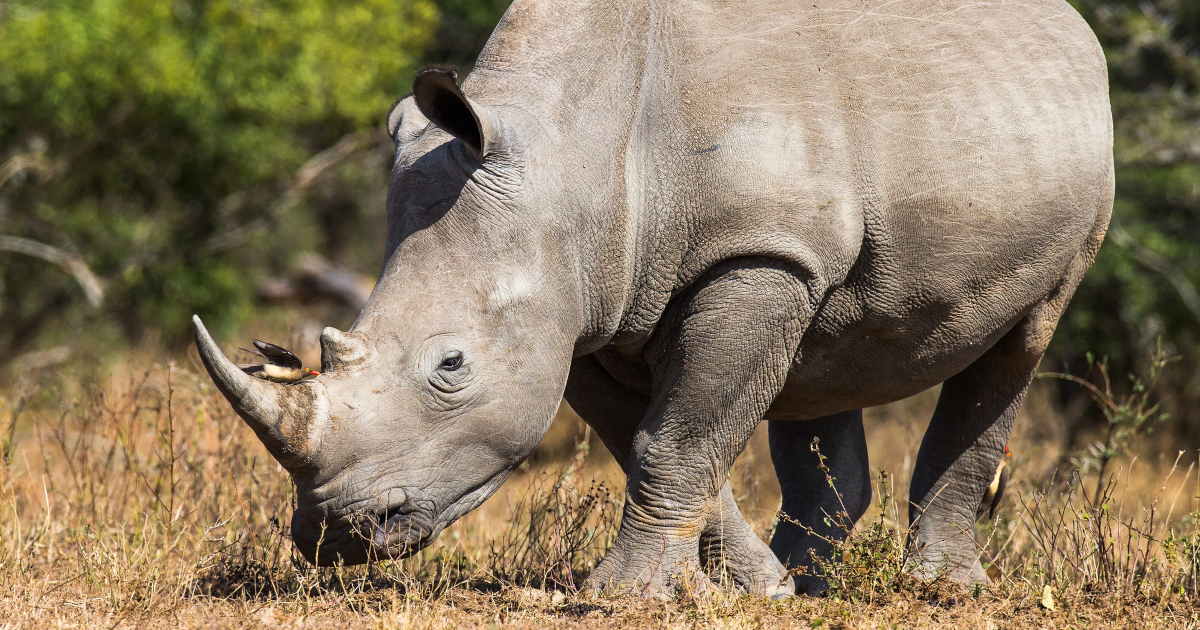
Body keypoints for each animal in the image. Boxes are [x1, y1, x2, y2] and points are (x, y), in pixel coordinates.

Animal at [192, 0, 1112, 597]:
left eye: (451, 366)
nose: (339, 535)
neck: (567, 149)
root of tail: (1071, 24)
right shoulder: (585, 304)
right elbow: (655, 435)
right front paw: (755, 592)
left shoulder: (753, 255)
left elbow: (678, 435)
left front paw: (622, 597)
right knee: (822, 359)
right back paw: (812, 583)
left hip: (1070, 186)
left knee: (1022, 340)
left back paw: (941, 591)